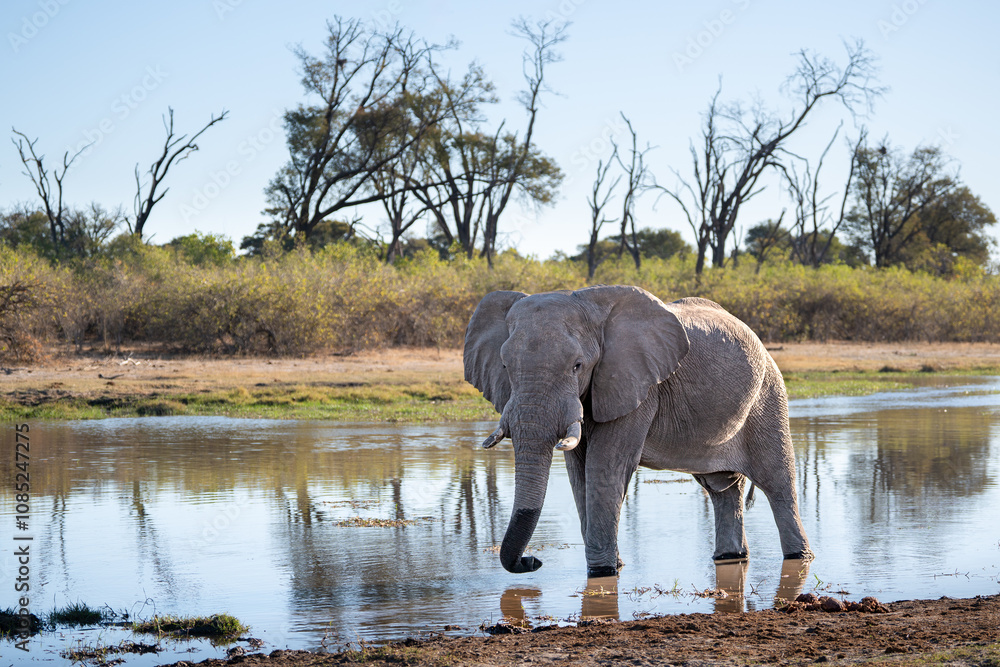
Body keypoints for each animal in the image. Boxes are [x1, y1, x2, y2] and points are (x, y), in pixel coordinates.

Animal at [464, 284, 812, 576]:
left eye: (577, 366)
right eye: (505, 366)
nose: (532, 560)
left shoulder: (637, 385)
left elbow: (605, 467)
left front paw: (603, 573)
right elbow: (579, 473)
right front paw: (612, 567)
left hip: (768, 394)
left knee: (777, 481)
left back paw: (799, 557)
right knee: (721, 487)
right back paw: (730, 557)